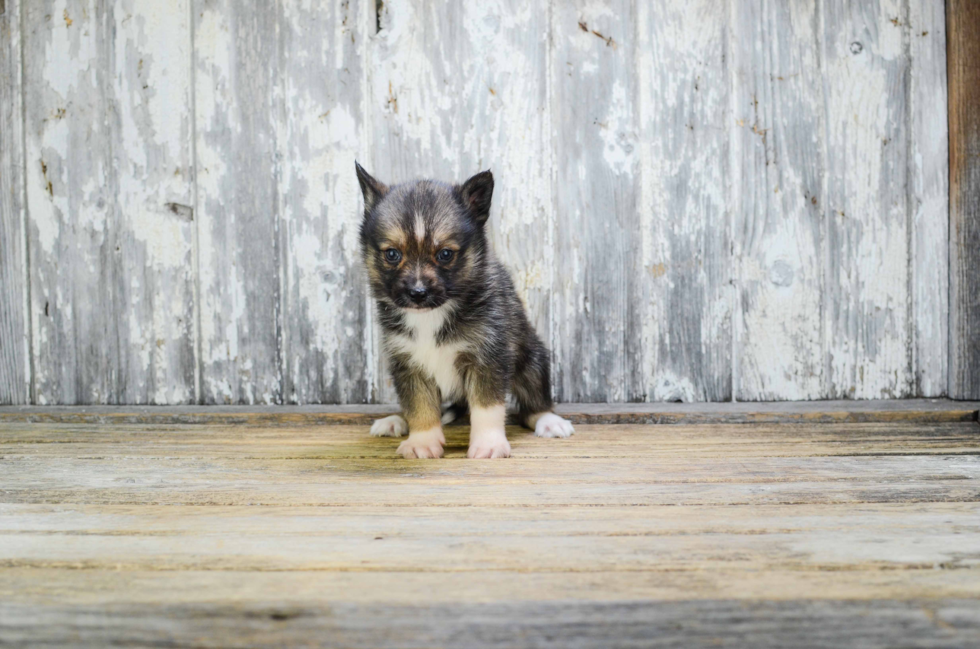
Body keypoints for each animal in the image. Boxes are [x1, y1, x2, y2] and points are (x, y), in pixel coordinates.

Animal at [356, 161, 576, 456]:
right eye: (392, 254)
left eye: (445, 254)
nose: (417, 293)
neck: (433, 314)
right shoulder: (408, 363)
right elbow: (418, 405)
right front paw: (422, 441)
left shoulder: (488, 357)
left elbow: (487, 407)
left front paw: (489, 444)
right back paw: (395, 420)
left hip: (533, 359)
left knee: (532, 402)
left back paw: (548, 420)